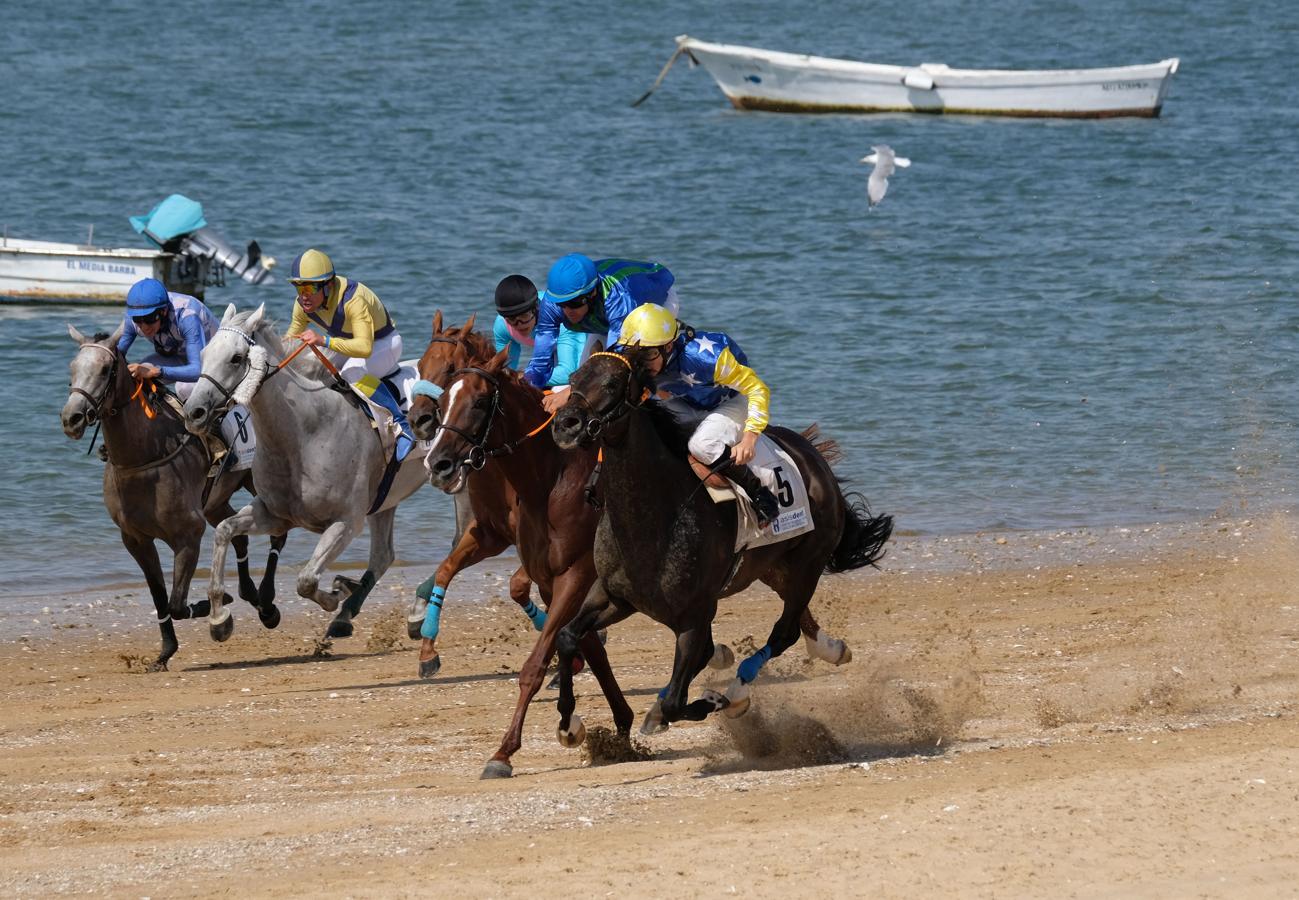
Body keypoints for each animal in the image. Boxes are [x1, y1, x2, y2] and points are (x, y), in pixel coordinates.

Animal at [61, 323, 287, 664]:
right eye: (73, 368)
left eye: (103, 370)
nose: (71, 418)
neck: (143, 458)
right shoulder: (136, 539)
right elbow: (160, 598)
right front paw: (166, 650)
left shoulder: (188, 535)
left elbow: (177, 603)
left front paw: (217, 611)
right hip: (215, 502)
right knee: (239, 536)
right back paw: (250, 593)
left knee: (277, 536)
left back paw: (267, 604)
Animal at [181, 305, 426, 641]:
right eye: (204, 354)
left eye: (236, 358)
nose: (193, 413)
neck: (305, 433)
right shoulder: (275, 514)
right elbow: (223, 531)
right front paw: (219, 618)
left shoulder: (346, 522)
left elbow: (306, 580)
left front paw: (335, 595)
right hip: (385, 501)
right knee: (383, 555)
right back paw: (352, 616)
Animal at [548, 350, 893, 737]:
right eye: (574, 379)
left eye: (611, 383)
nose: (566, 425)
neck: (654, 517)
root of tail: (812, 455)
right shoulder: (615, 596)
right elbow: (567, 636)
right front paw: (568, 723)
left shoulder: (696, 614)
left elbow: (679, 696)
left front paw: (712, 701)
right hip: (773, 569)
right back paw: (830, 649)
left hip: (808, 562)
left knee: (784, 632)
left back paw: (739, 690)